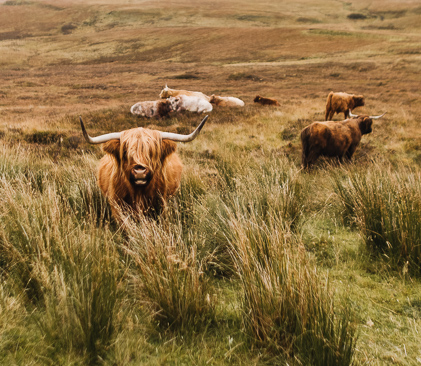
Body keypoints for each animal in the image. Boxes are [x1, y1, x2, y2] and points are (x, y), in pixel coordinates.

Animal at [79, 116, 208, 219]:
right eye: (125, 152)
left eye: (152, 152)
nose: (140, 171)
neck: (139, 194)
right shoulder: (118, 206)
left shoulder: (161, 204)